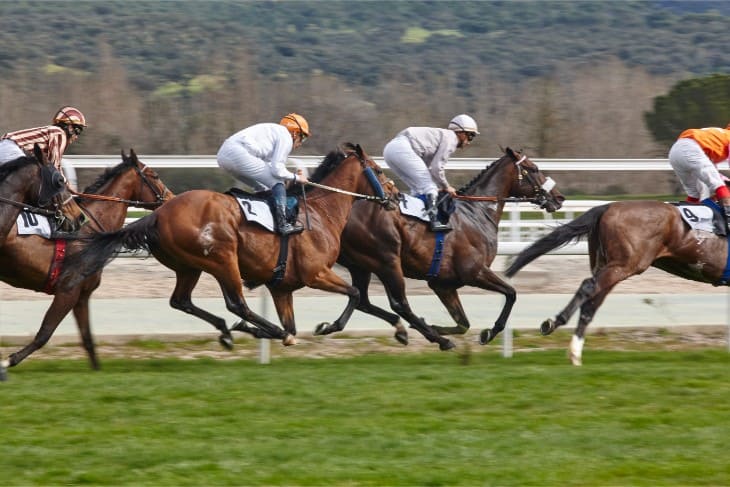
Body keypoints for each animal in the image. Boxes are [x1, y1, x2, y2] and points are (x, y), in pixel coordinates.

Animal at [0, 150, 172, 374]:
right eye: (155, 175)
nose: (171, 198)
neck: (89, 233)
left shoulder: (82, 295)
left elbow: (87, 338)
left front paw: (98, 371)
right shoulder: (68, 290)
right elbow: (44, 333)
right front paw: (9, 360)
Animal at [60, 143, 396, 348]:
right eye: (379, 171)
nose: (393, 197)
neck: (321, 211)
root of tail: (157, 214)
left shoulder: (282, 287)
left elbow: (294, 321)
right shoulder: (316, 273)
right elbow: (354, 293)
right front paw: (328, 326)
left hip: (189, 266)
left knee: (181, 301)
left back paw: (234, 329)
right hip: (223, 259)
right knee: (237, 304)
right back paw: (255, 329)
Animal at [332, 148, 564, 350]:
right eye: (533, 168)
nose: (559, 197)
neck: (477, 212)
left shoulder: (443, 284)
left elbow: (463, 323)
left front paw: (436, 326)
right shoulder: (474, 272)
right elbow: (511, 293)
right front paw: (489, 332)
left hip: (362, 265)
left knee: (362, 299)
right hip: (387, 262)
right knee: (398, 304)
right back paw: (435, 338)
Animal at [506, 200, 728, 364]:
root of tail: (608, 206)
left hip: (606, 264)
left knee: (591, 302)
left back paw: (575, 353)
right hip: (624, 265)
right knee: (588, 287)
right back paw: (555, 322)